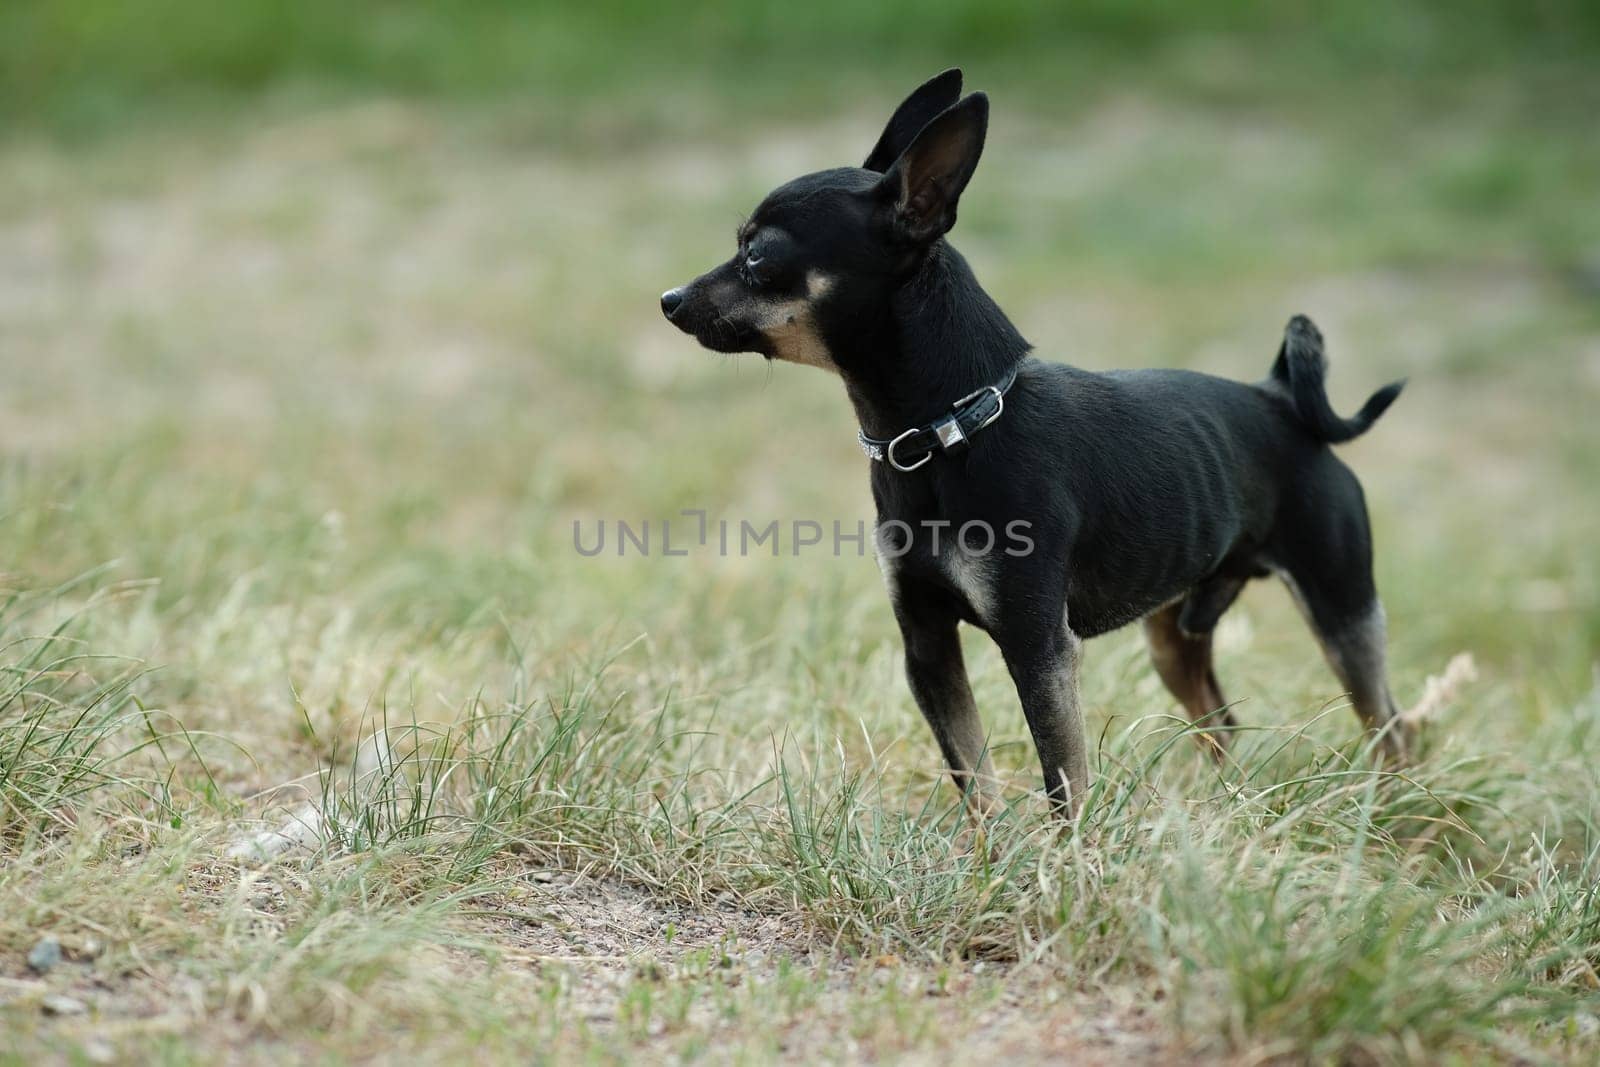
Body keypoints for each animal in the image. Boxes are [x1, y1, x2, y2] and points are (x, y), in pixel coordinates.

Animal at [656, 68, 1408, 819]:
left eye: (758, 256)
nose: (669, 299)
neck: (948, 432)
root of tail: (1280, 397)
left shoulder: (1039, 648)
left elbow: (1064, 781)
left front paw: (1068, 851)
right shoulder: (927, 643)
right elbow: (974, 774)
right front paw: (988, 845)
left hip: (1342, 611)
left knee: (1393, 729)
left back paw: (1398, 819)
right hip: (1174, 637)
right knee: (1223, 724)